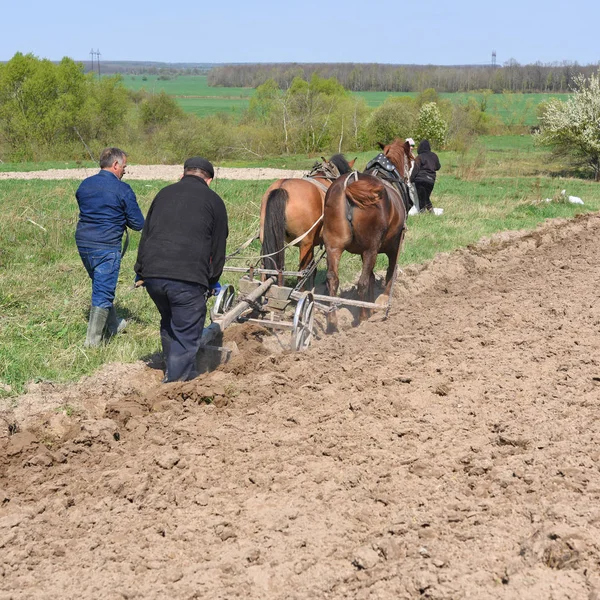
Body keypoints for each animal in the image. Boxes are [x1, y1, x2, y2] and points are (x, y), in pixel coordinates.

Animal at [324, 138, 412, 330]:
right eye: (411, 158)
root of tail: (349, 185)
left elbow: (372, 276)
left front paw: (372, 306)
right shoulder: (394, 245)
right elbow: (390, 272)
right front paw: (382, 302)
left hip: (334, 246)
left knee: (333, 279)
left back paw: (333, 321)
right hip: (370, 248)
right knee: (362, 282)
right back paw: (363, 318)